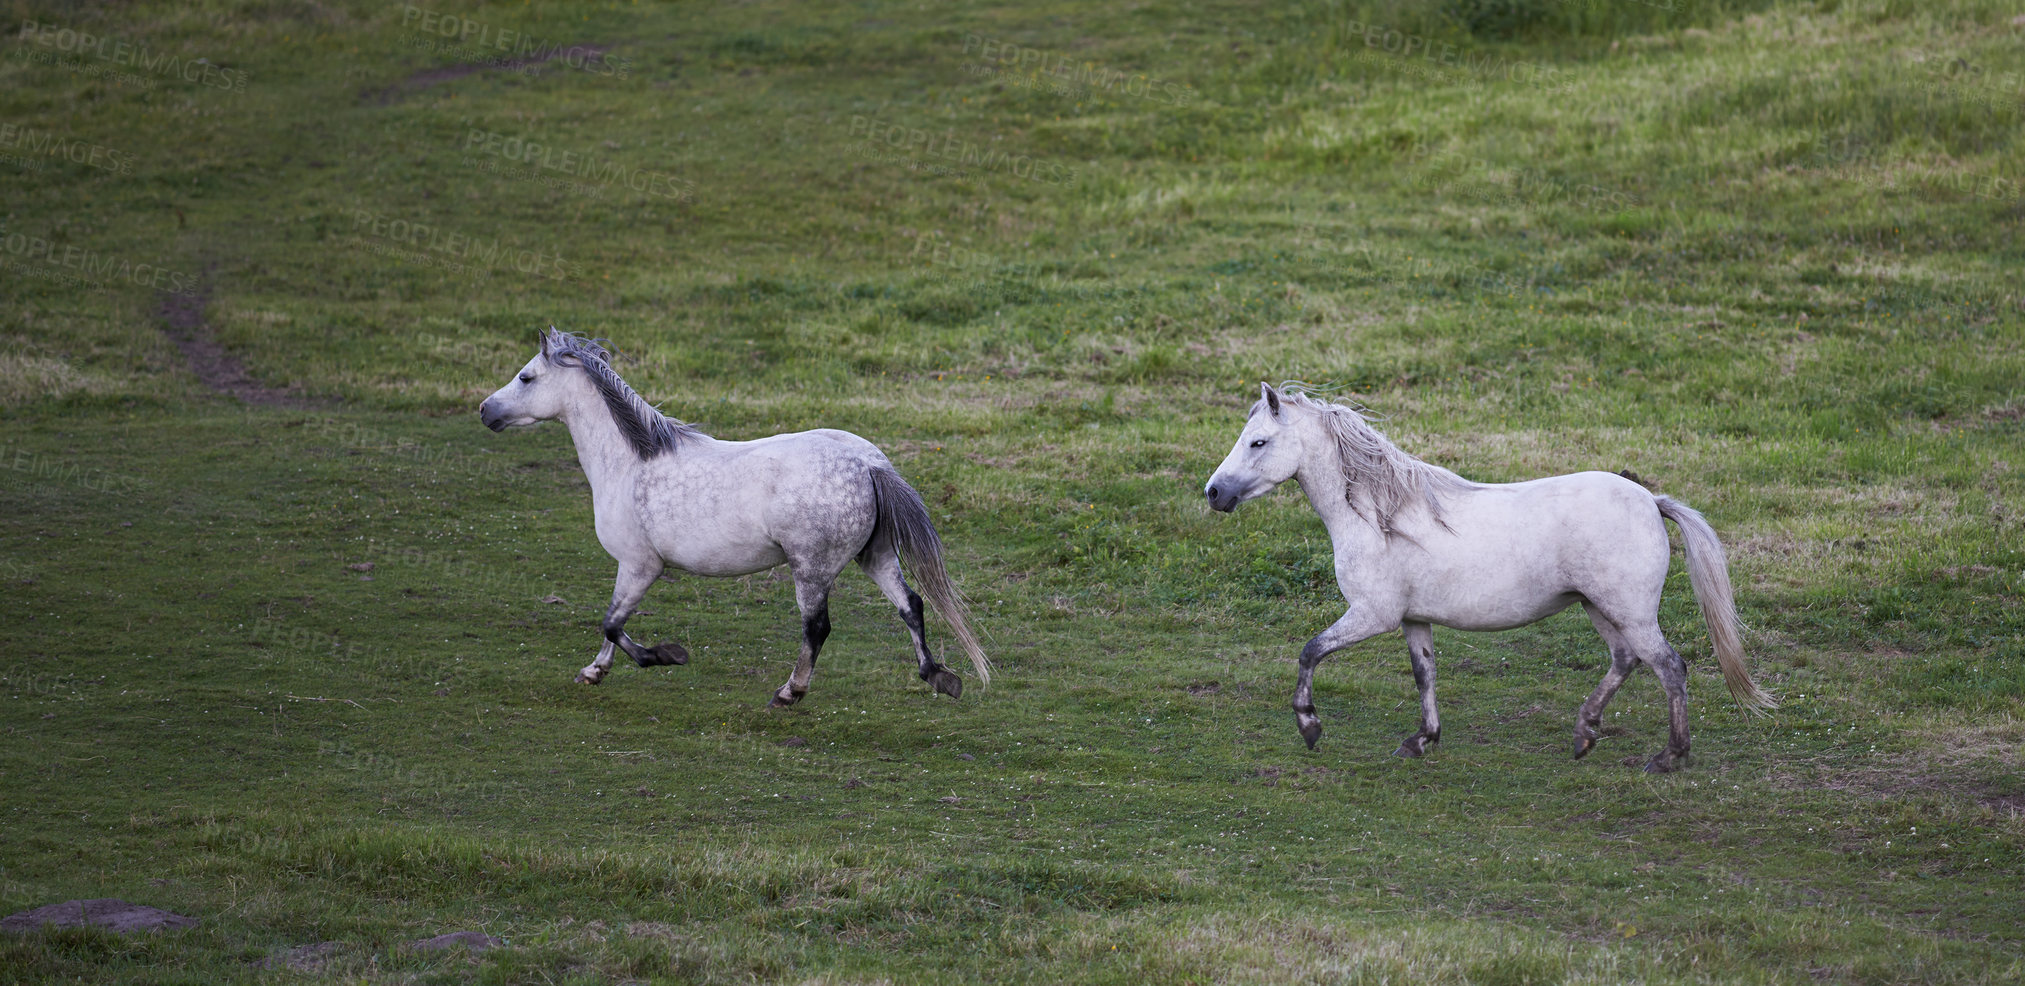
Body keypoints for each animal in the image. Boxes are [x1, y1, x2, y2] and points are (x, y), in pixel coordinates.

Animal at [481, 332, 988, 708]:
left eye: (526, 377)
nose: (486, 410)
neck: (631, 463)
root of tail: (868, 464)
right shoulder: (633, 567)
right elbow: (611, 622)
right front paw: (593, 672)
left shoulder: (640, 565)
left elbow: (612, 622)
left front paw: (665, 656)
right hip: (875, 557)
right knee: (912, 606)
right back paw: (939, 676)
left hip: (811, 570)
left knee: (818, 628)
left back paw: (789, 692)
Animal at [1198, 382, 1773, 777]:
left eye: (1257, 442)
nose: (1214, 493)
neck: (1380, 517)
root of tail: (1651, 501)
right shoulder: (1412, 620)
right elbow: (1424, 674)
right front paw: (1421, 740)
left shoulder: (1372, 615)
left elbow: (1310, 651)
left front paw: (1310, 726)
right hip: (1600, 608)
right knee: (1626, 661)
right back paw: (1584, 734)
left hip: (1627, 611)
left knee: (1669, 667)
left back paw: (1668, 756)